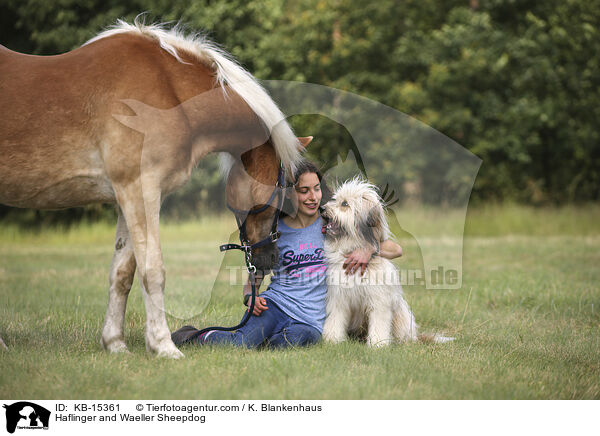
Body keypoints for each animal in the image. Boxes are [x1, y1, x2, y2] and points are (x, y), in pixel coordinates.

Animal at [0, 18, 310, 358]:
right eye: (285, 187)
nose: (270, 259)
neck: (171, 91)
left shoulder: (126, 196)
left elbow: (122, 273)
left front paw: (115, 343)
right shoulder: (141, 189)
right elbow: (153, 271)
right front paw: (163, 345)